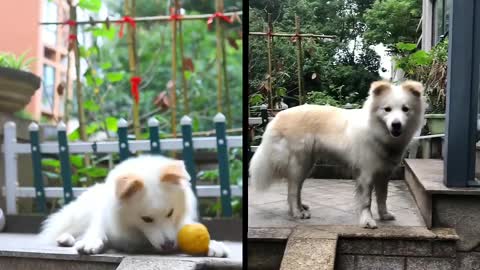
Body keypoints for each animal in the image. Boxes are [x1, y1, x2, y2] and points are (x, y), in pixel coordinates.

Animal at [38, 154, 230, 255]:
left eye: (170, 213)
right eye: (146, 219)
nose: (169, 245)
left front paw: (212, 244)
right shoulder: (103, 218)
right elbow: (96, 229)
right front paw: (91, 241)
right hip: (80, 215)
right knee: (71, 228)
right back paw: (66, 238)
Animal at [249, 79, 426, 228]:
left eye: (405, 109)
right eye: (387, 109)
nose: (396, 125)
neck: (376, 130)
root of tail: (277, 116)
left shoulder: (383, 174)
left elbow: (383, 197)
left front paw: (384, 215)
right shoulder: (366, 174)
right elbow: (366, 201)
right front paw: (367, 221)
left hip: (306, 165)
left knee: (296, 188)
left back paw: (301, 207)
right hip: (299, 164)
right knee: (292, 190)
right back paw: (297, 212)